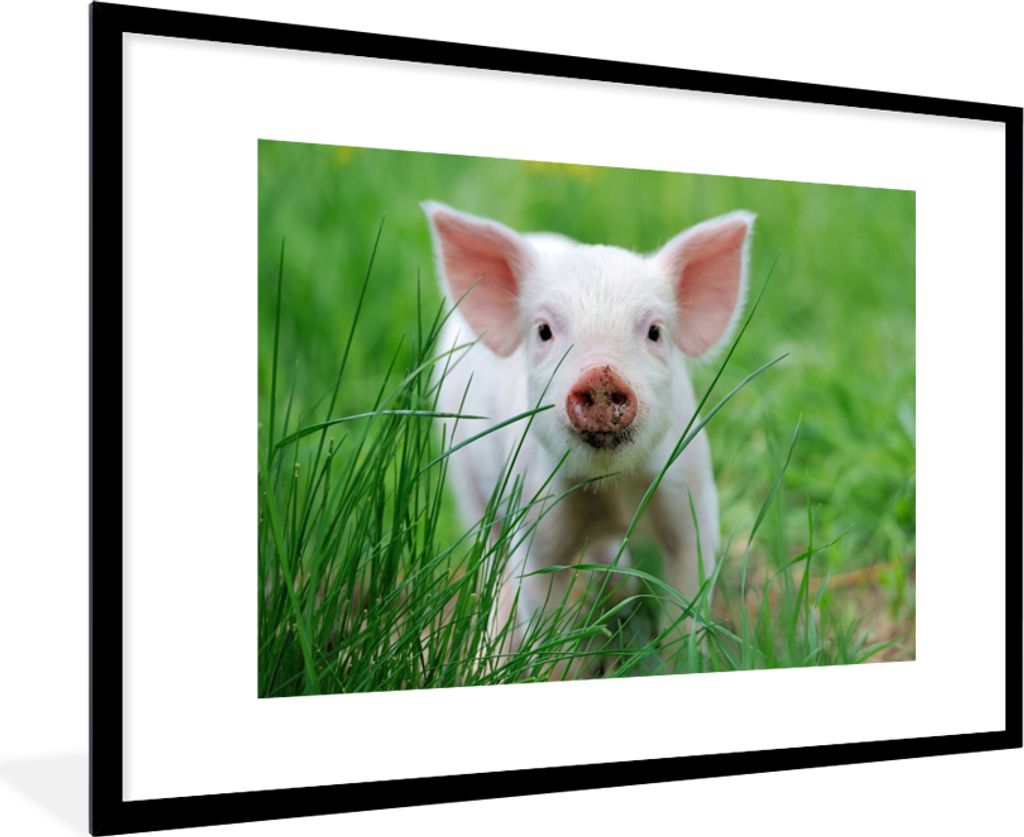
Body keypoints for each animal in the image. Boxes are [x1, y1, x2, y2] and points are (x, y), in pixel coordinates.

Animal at [423, 201, 755, 656]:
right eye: (544, 330)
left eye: (655, 331)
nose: (601, 375)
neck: (609, 488)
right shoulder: (534, 514)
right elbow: (541, 606)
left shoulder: (692, 495)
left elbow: (687, 594)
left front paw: (685, 657)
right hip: (462, 473)